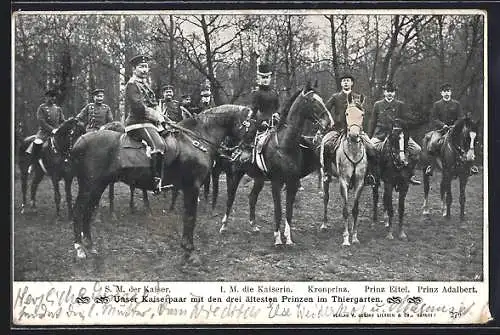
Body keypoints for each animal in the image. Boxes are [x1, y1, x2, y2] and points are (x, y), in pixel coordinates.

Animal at [70, 104, 254, 260]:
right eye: (251, 125)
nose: (246, 157)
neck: (197, 140)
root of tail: (79, 141)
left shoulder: (187, 188)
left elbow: (188, 216)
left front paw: (186, 247)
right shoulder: (192, 187)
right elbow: (190, 217)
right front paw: (190, 250)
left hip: (98, 186)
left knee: (87, 211)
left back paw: (90, 245)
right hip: (89, 186)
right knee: (78, 211)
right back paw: (79, 248)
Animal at [218, 83, 332, 245]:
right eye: (313, 101)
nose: (329, 122)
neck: (285, 146)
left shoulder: (292, 183)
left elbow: (289, 211)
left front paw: (288, 238)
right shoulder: (276, 183)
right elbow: (278, 210)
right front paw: (278, 239)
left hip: (259, 179)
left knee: (252, 198)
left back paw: (253, 226)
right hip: (236, 174)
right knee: (230, 197)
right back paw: (224, 226)